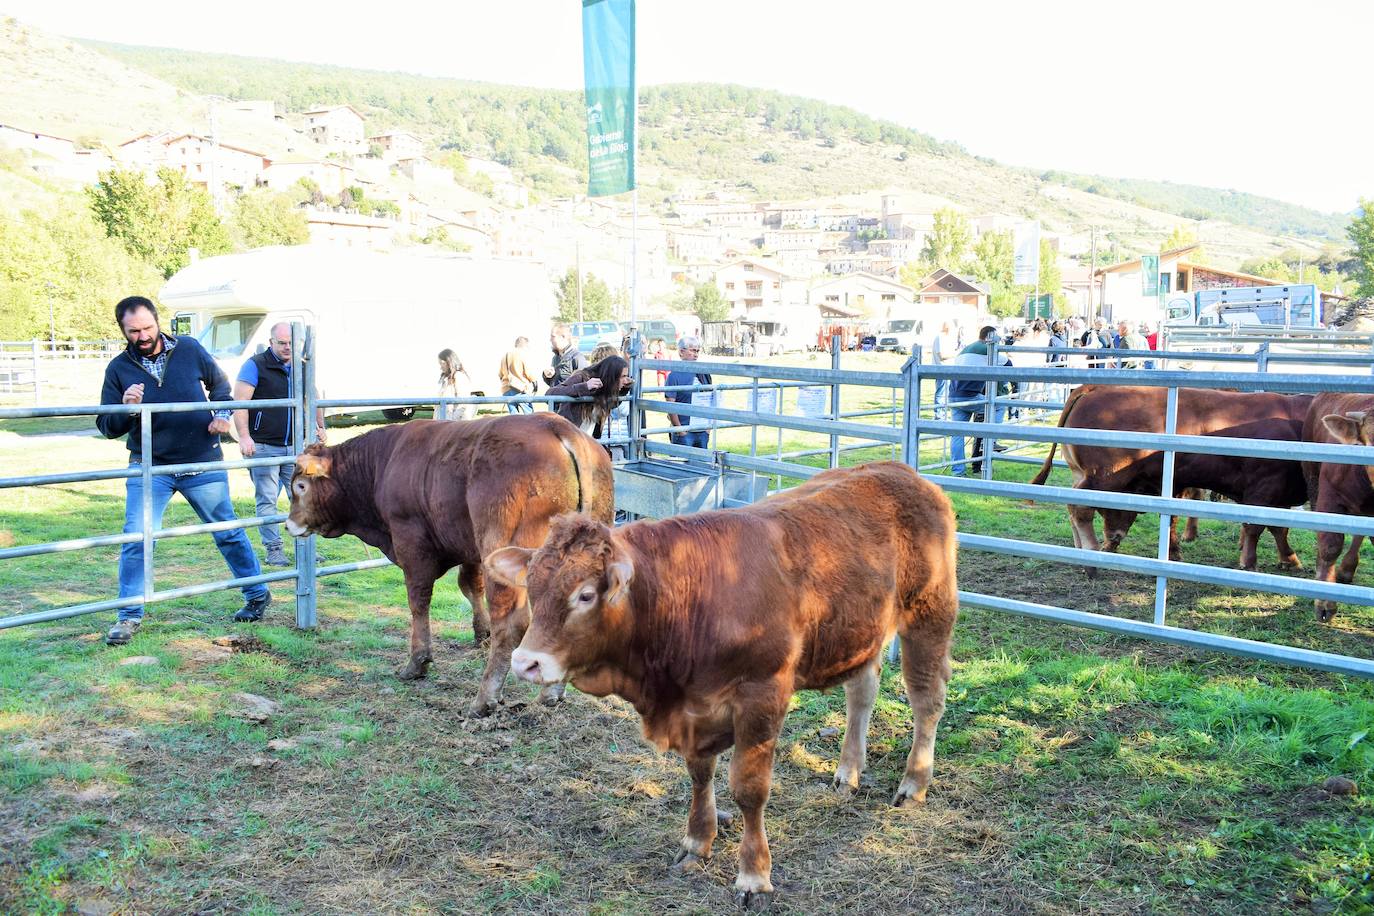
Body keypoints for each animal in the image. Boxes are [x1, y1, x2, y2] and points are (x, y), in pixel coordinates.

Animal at [284, 414, 612, 714]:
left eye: (300, 486)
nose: (289, 524)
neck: (382, 464)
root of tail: (557, 426)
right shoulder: (470, 548)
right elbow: (469, 585)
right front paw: (480, 634)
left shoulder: (411, 544)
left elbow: (418, 602)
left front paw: (417, 662)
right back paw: (550, 694)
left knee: (511, 624)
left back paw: (485, 699)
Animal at [489, 466, 961, 911]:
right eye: (532, 587)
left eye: (586, 595)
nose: (525, 663)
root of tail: (903, 473)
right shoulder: (694, 710)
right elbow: (700, 776)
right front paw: (697, 842)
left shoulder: (761, 695)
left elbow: (749, 790)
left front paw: (754, 876)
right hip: (860, 633)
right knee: (861, 693)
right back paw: (848, 772)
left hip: (929, 613)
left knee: (927, 699)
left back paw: (914, 783)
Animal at [1033, 384, 1308, 568]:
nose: (1113, 538)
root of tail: (1095, 389)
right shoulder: (1265, 488)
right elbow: (1259, 526)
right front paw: (1251, 562)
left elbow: (1279, 528)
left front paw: (1289, 558)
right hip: (1103, 477)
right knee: (1079, 508)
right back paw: (1091, 555)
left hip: (1083, 474)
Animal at [1297, 395, 1374, 623]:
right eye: (1366, 443)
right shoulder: (1329, 497)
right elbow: (1330, 546)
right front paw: (1324, 604)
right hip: (1312, 479)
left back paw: (1347, 569)